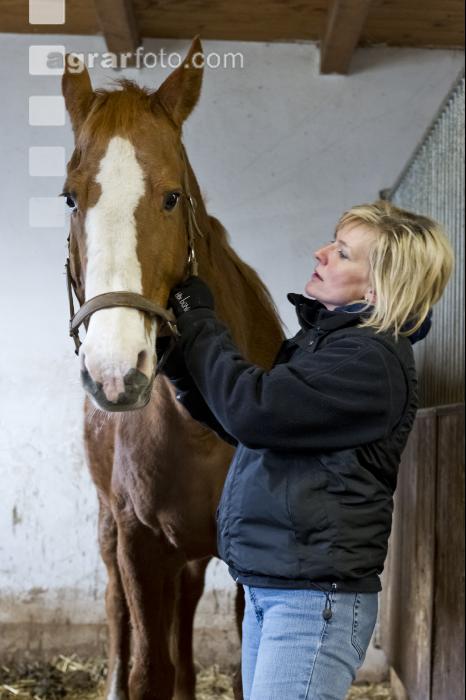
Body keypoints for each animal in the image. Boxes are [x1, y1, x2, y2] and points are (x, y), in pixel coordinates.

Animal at [62, 37, 284, 700]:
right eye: (70, 197)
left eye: (172, 196)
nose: (114, 370)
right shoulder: (138, 543)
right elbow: (147, 669)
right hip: (112, 530)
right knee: (118, 611)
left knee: (183, 607)